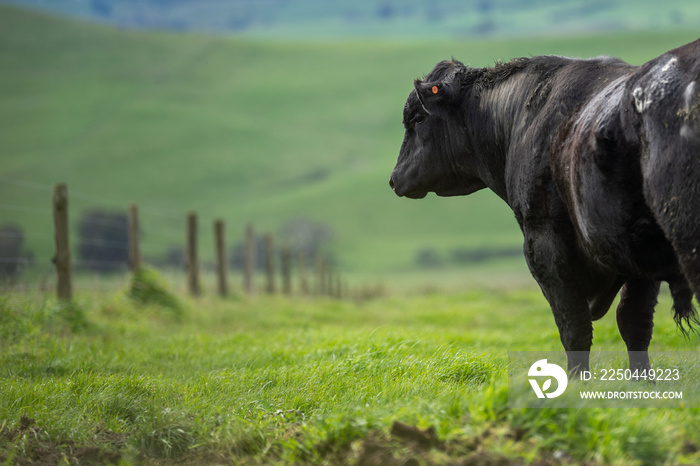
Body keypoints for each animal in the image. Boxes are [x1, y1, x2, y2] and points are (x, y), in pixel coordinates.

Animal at [388, 38, 700, 374]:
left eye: (417, 119)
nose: (394, 178)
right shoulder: (638, 255)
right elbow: (634, 324)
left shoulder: (545, 246)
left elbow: (574, 328)